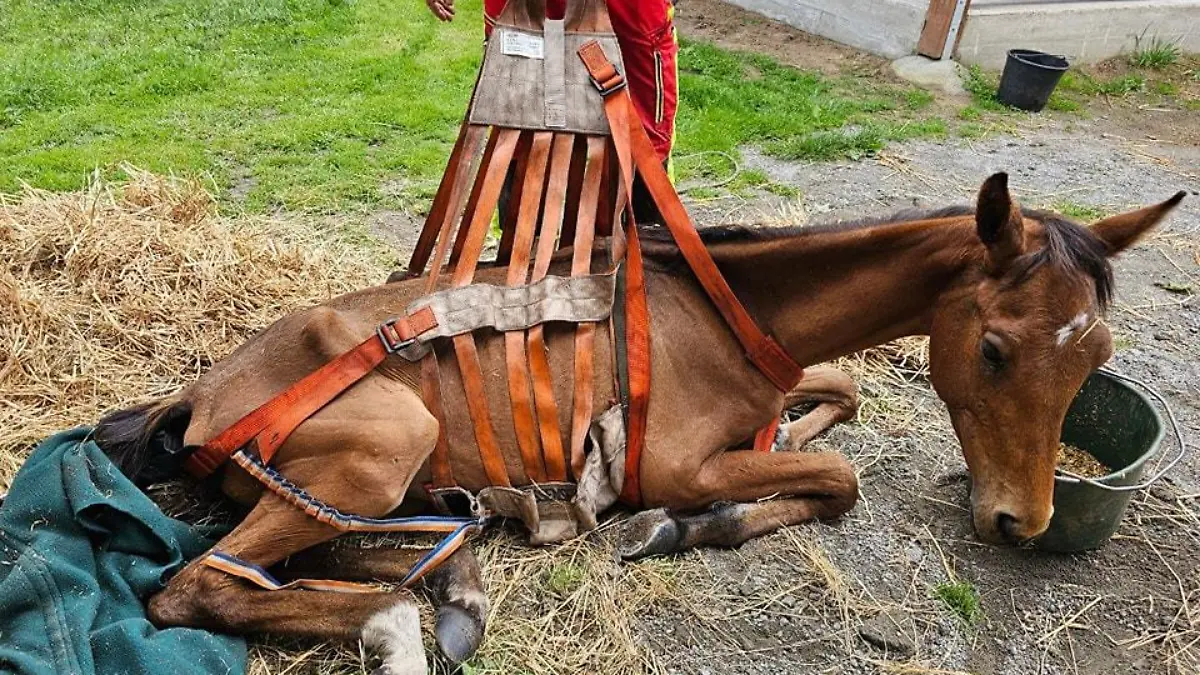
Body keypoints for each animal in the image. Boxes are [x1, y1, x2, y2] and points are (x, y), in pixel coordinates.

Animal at [93, 173, 1183, 673]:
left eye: (1097, 356)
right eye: (994, 349)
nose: (1020, 521)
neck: (725, 312)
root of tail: (199, 399)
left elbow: (840, 399)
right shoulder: (678, 463)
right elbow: (836, 482)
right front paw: (671, 528)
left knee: (344, 546)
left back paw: (457, 568)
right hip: (388, 439)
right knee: (200, 584)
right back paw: (405, 612)